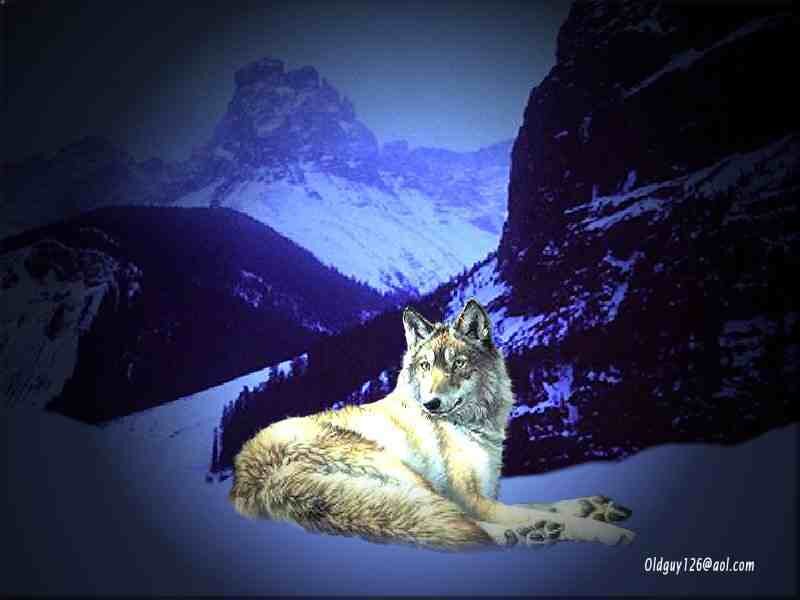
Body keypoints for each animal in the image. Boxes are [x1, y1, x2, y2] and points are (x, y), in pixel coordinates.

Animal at [230, 299, 636, 551]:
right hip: (401, 472)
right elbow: (535, 511)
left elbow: (549, 504)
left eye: (457, 364)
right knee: (456, 525)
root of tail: (252, 478)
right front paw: (608, 531)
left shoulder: (486, 495)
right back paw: (526, 534)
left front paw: (593, 506)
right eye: (425, 366)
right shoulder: (474, 501)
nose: (431, 404)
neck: (470, 428)